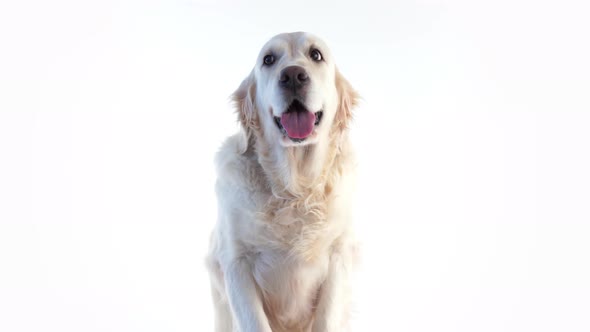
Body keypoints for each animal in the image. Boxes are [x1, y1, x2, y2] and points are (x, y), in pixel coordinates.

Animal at [210, 31, 360, 332]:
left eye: (316, 55)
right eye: (268, 59)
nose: (292, 76)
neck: (294, 190)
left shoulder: (338, 256)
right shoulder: (235, 262)